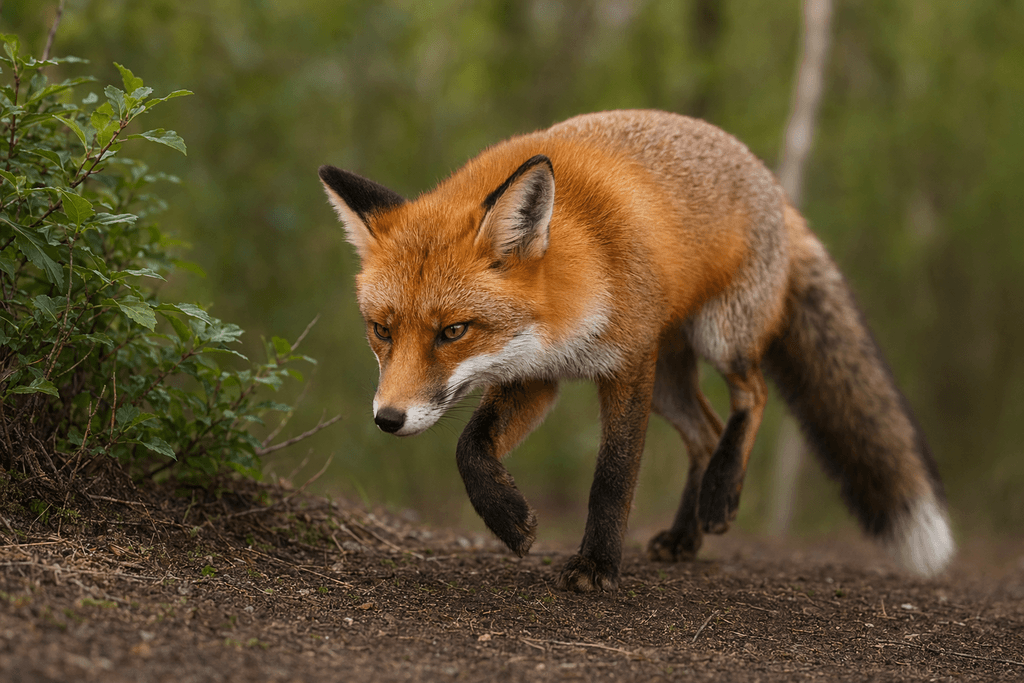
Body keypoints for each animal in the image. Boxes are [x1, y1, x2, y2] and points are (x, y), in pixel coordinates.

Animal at [319, 109, 954, 592]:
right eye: (382, 330)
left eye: (453, 331)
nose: (388, 418)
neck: (579, 282)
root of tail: (774, 186)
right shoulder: (534, 376)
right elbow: (470, 449)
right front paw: (510, 521)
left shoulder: (627, 367)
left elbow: (613, 476)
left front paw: (596, 565)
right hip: (671, 382)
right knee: (706, 431)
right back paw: (686, 534)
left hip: (720, 338)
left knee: (752, 396)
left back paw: (721, 495)